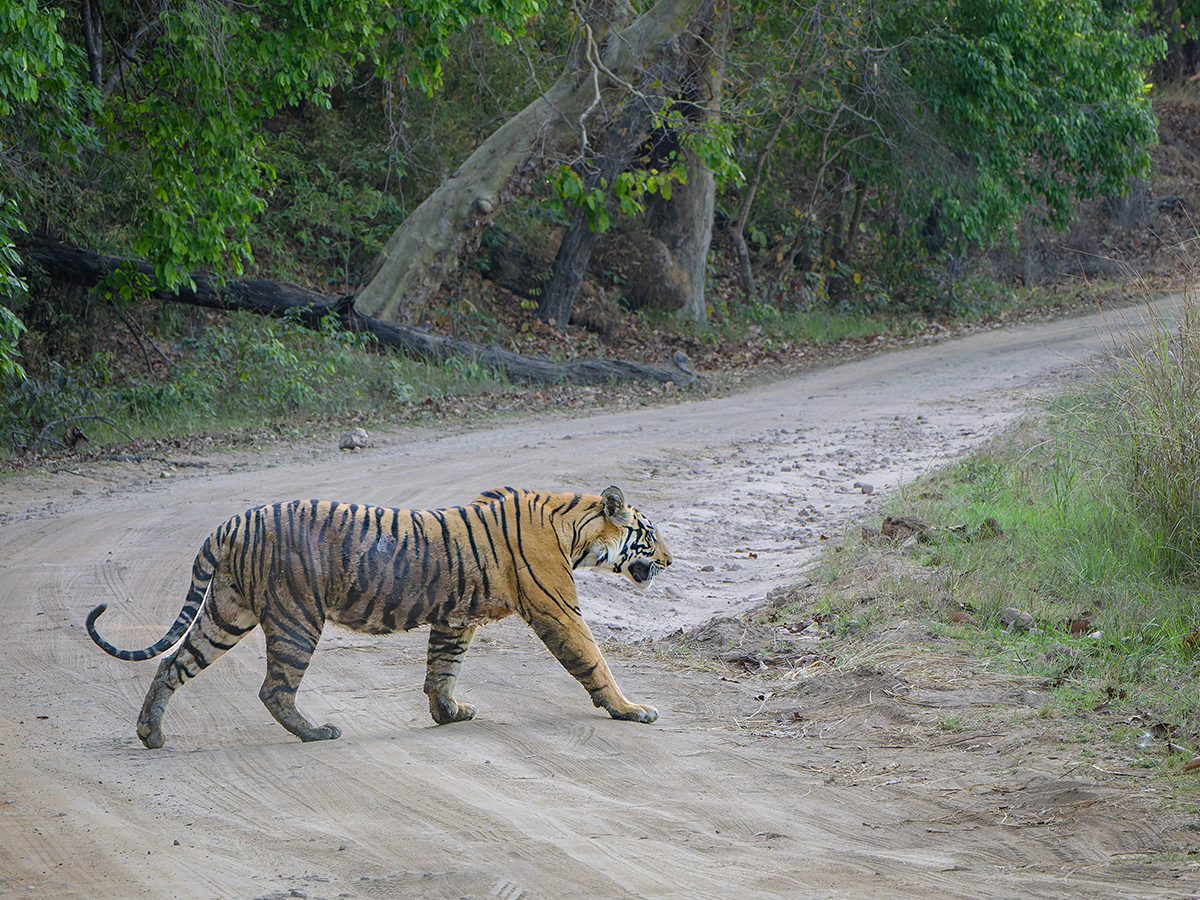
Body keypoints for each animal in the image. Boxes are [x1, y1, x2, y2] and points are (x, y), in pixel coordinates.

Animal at [86, 485, 672, 749]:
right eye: (650, 532)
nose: (671, 560)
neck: (575, 531)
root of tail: (231, 523)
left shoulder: (455, 618)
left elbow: (443, 668)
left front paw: (449, 713)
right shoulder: (557, 610)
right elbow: (594, 661)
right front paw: (631, 710)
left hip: (227, 612)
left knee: (173, 664)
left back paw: (151, 734)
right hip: (297, 617)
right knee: (274, 688)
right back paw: (316, 732)